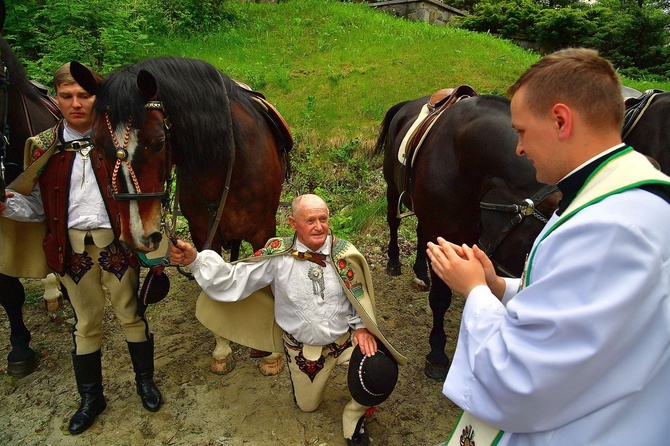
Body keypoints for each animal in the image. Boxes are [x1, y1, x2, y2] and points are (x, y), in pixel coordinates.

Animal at [69, 55, 294, 376]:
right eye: (97, 146)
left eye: (159, 142)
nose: (137, 235)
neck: (226, 159)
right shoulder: (203, 233)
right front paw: (222, 347)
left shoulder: (264, 230)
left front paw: (270, 354)